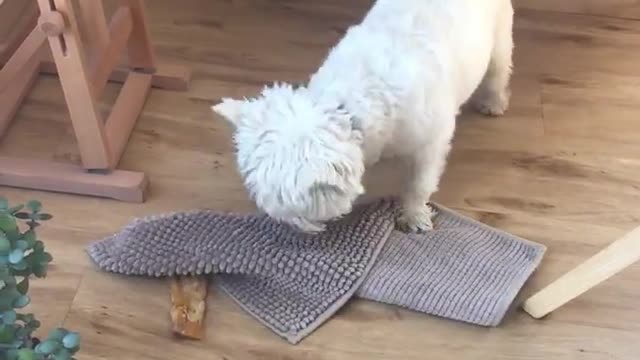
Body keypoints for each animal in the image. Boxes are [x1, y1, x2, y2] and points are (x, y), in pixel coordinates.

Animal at [212, 0, 512, 232]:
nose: (294, 229)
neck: (346, 107)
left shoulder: (431, 141)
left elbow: (419, 183)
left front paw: (414, 216)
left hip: (499, 31)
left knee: (499, 67)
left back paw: (494, 102)